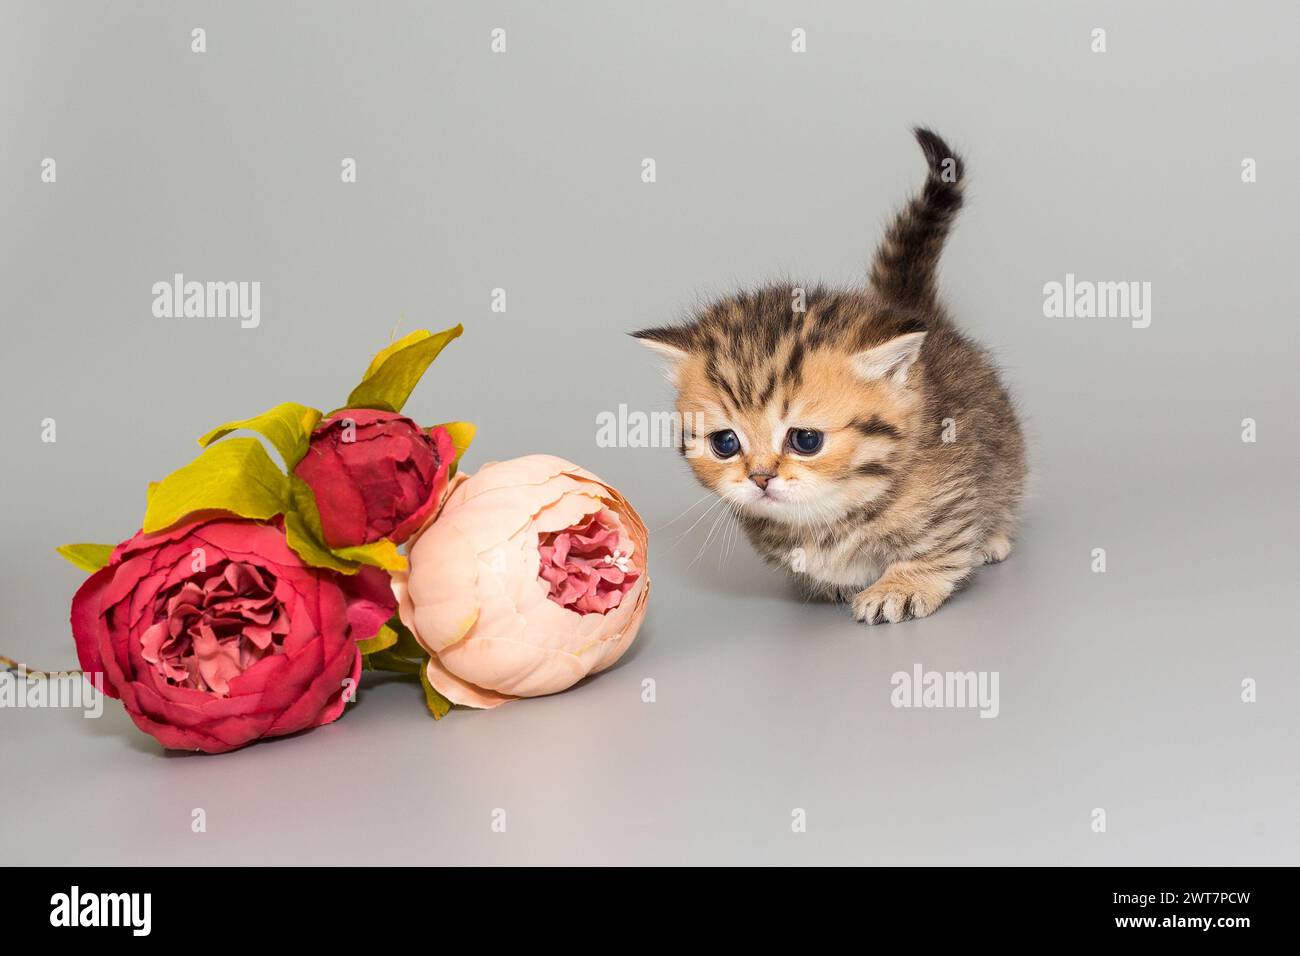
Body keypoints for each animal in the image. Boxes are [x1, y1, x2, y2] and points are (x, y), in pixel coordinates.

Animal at [631, 130, 1024, 624]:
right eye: (725, 443)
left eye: (806, 440)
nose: (760, 478)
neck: (832, 514)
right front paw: (831, 581)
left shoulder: (952, 488)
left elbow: (939, 542)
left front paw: (903, 585)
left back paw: (993, 537)